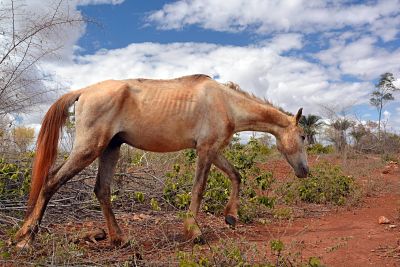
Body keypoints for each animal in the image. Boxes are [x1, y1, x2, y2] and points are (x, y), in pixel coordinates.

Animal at [13, 74, 310, 249]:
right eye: (304, 136)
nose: (305, 171)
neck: (226, 102)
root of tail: (84, 90)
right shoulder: (206, 150)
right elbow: (199, 190)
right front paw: (194, 231)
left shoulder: (213, 150)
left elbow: (236, 175)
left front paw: (231, 216)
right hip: (89, 148)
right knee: (51, 181)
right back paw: (26, 238)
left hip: (110, 148)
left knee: (102, 190)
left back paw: (119, 238)